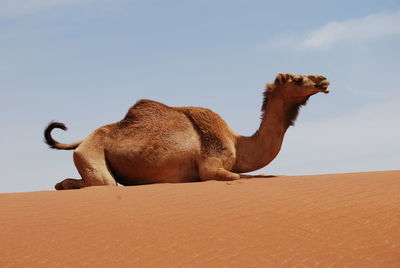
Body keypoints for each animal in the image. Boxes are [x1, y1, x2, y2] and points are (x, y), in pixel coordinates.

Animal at [45, 73, 330, 189]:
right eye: (297, 79)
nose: (324, 81)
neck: (238, 142)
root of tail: (82, 140)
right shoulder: (211, 169)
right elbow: (243, 177)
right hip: (90, 154)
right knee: (101, 183)